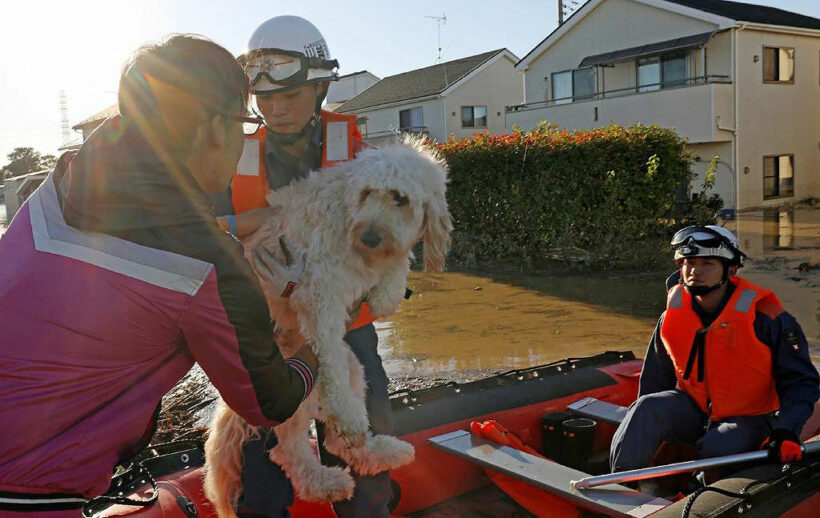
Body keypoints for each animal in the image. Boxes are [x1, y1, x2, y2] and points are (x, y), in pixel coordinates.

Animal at [203, 139, 452, 518]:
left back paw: (381, 450)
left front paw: (386, 292)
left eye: (400, 198)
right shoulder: (319, 295)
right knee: (288, 449)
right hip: (285, 388)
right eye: (367, 193)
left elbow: (396, 266)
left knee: (335, 440)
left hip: (352, 369)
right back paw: (326, 479)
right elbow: (329, 355)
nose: (369, 236)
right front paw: (347, 415)